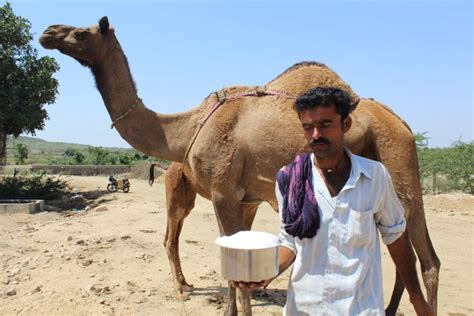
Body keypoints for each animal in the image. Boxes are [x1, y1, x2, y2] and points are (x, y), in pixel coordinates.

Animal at [40, 17, 440, 316]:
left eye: (81, 33)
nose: (48, 32)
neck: (187, 129)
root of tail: (402, 124)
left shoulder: (224, 192)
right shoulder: (244, 198)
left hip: (400, 165)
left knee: (426, 258)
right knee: (412, 252)